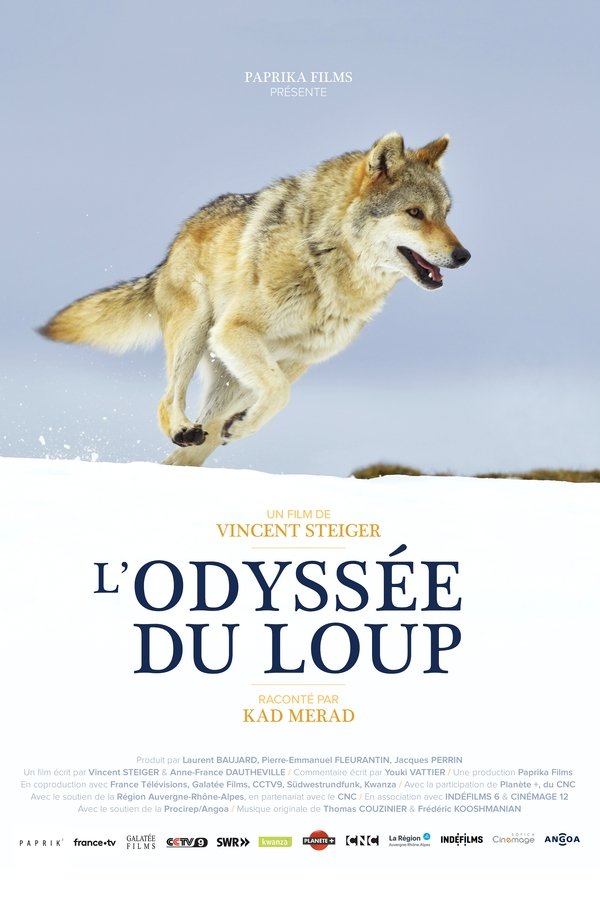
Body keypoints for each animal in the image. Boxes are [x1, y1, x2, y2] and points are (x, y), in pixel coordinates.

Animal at [40, 132, 470, 466]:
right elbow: (279, 393)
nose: (463, 256)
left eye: (446, 214)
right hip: (199, 332)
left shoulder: (298, 360)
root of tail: (175, 243)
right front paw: (244, 424)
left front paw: (243, 425)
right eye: (415, 213)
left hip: (229, 377)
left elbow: (278, 396)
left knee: (195, 446)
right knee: (168, 403)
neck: (325, 260)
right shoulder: (235, 331)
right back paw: (182, 429)